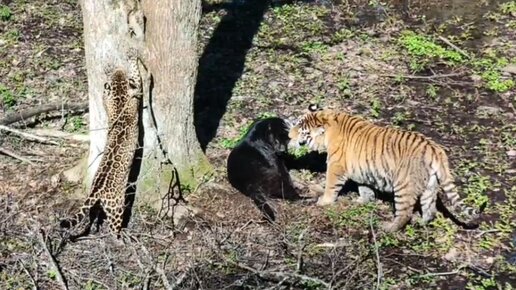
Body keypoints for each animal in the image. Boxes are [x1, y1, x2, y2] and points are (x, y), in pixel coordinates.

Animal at [288, 104, 486, 233]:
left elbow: (330, 186)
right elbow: (365, 189)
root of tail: (436, 150)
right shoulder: (362, 171)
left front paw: (324, 201)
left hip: (403, 186)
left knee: (405, 213)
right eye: (297, 123)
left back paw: (389, 228)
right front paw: (362, 201)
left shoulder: (336, 167)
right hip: (430, 186)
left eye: (302, 130)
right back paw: (421, 222)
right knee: (431, 211)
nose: (289, 135)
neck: (329, 122)